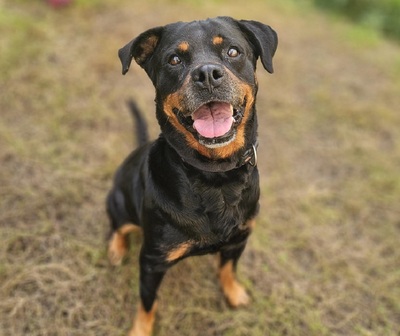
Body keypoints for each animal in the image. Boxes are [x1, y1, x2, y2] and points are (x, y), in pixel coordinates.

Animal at [108, 17, 280, 334]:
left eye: (233, 51)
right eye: (174, 59)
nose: (207, 75)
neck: (215, 176)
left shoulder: (240, 238)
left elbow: (228, 268)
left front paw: (233, 292)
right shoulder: (152, 261)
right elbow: (147, 303)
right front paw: (140, 329)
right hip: (119, 202)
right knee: (118, 226)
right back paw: (116, 248)